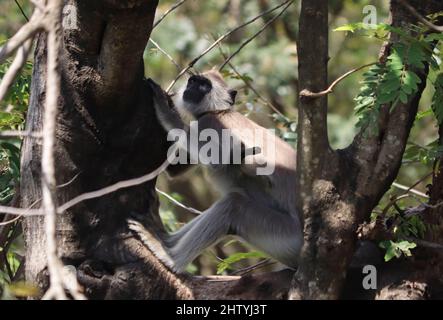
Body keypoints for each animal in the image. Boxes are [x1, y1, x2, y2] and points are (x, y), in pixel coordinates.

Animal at [128, 70, 302, 272]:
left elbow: (220, 161)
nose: (191, 87)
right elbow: (174, 170)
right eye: (193, 81)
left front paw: (165, 108)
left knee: (233, 205)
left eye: (204, 85)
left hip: (285, 234)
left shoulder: (211, 123)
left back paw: (171, 259)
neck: (219, 111)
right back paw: (163, 237)